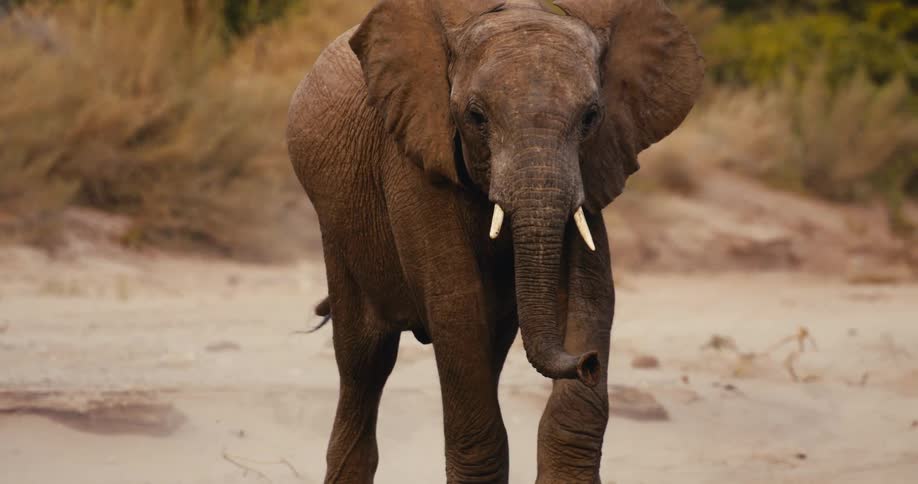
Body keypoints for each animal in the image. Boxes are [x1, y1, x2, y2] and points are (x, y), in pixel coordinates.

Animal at [286, 0, 703, 482]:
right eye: (475, 116)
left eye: (591, 117)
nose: (588, 363)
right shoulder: (414, 155)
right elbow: (456, 304)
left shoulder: (595, 164)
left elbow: (593, 296)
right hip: (337, 232)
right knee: (364, 363)